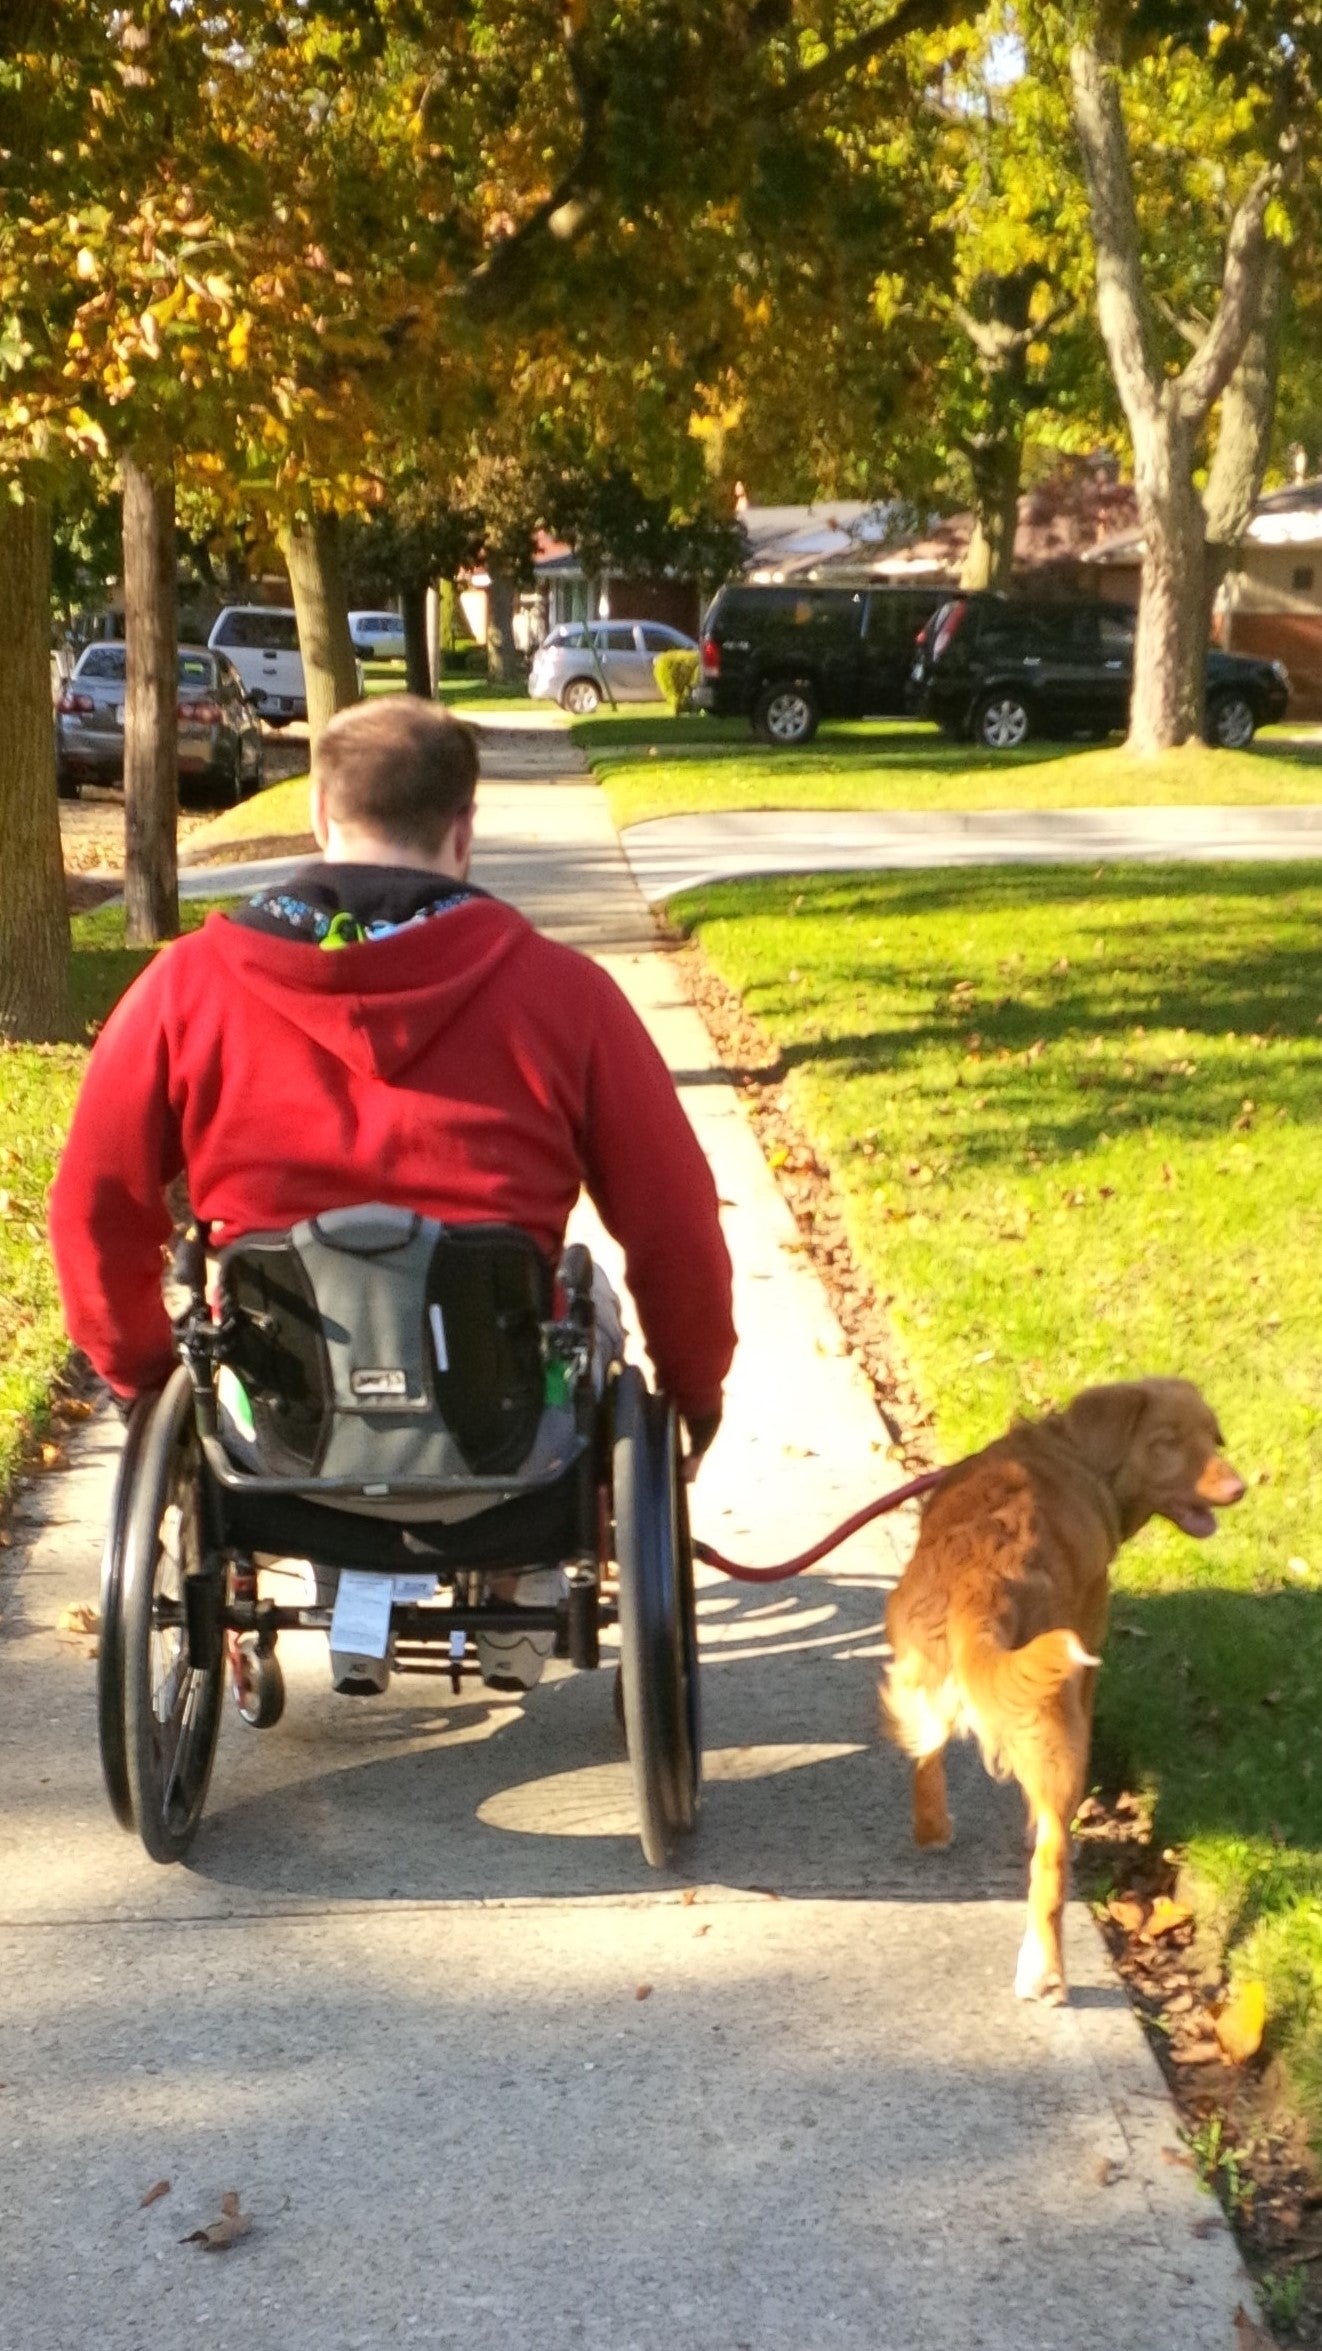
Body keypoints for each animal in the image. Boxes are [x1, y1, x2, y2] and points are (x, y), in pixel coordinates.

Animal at [879, 1382, 1242, 2012]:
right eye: (1167, 1440)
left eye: (1211, 1436)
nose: (1240, 1487)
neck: (1074, 1451)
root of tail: (978, 1584)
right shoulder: (1092, 1630)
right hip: (1055, 1721)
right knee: (1046, 1868)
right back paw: (1044, 1971)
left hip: (921, 1682)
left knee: (926, 1755)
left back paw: (933, 1832)